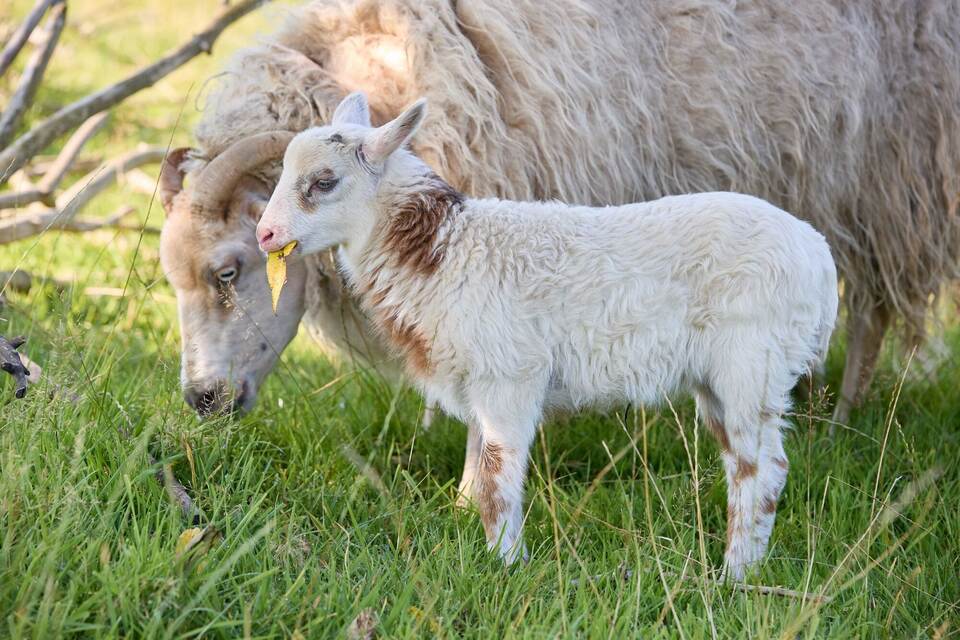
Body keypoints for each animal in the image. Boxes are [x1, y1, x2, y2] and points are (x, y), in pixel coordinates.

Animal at [254, 93, 840, 577]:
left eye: (324, 182)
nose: (265, 234)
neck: (442, 251)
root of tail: (820, 258)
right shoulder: (478, 380)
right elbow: (477, 472)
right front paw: (477, 542)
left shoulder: (510, 376)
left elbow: (498, 480)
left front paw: (506, 565)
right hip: (723, 377)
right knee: (749, 464)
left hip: (753, 362)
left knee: (761, 470)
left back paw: (734, 577)